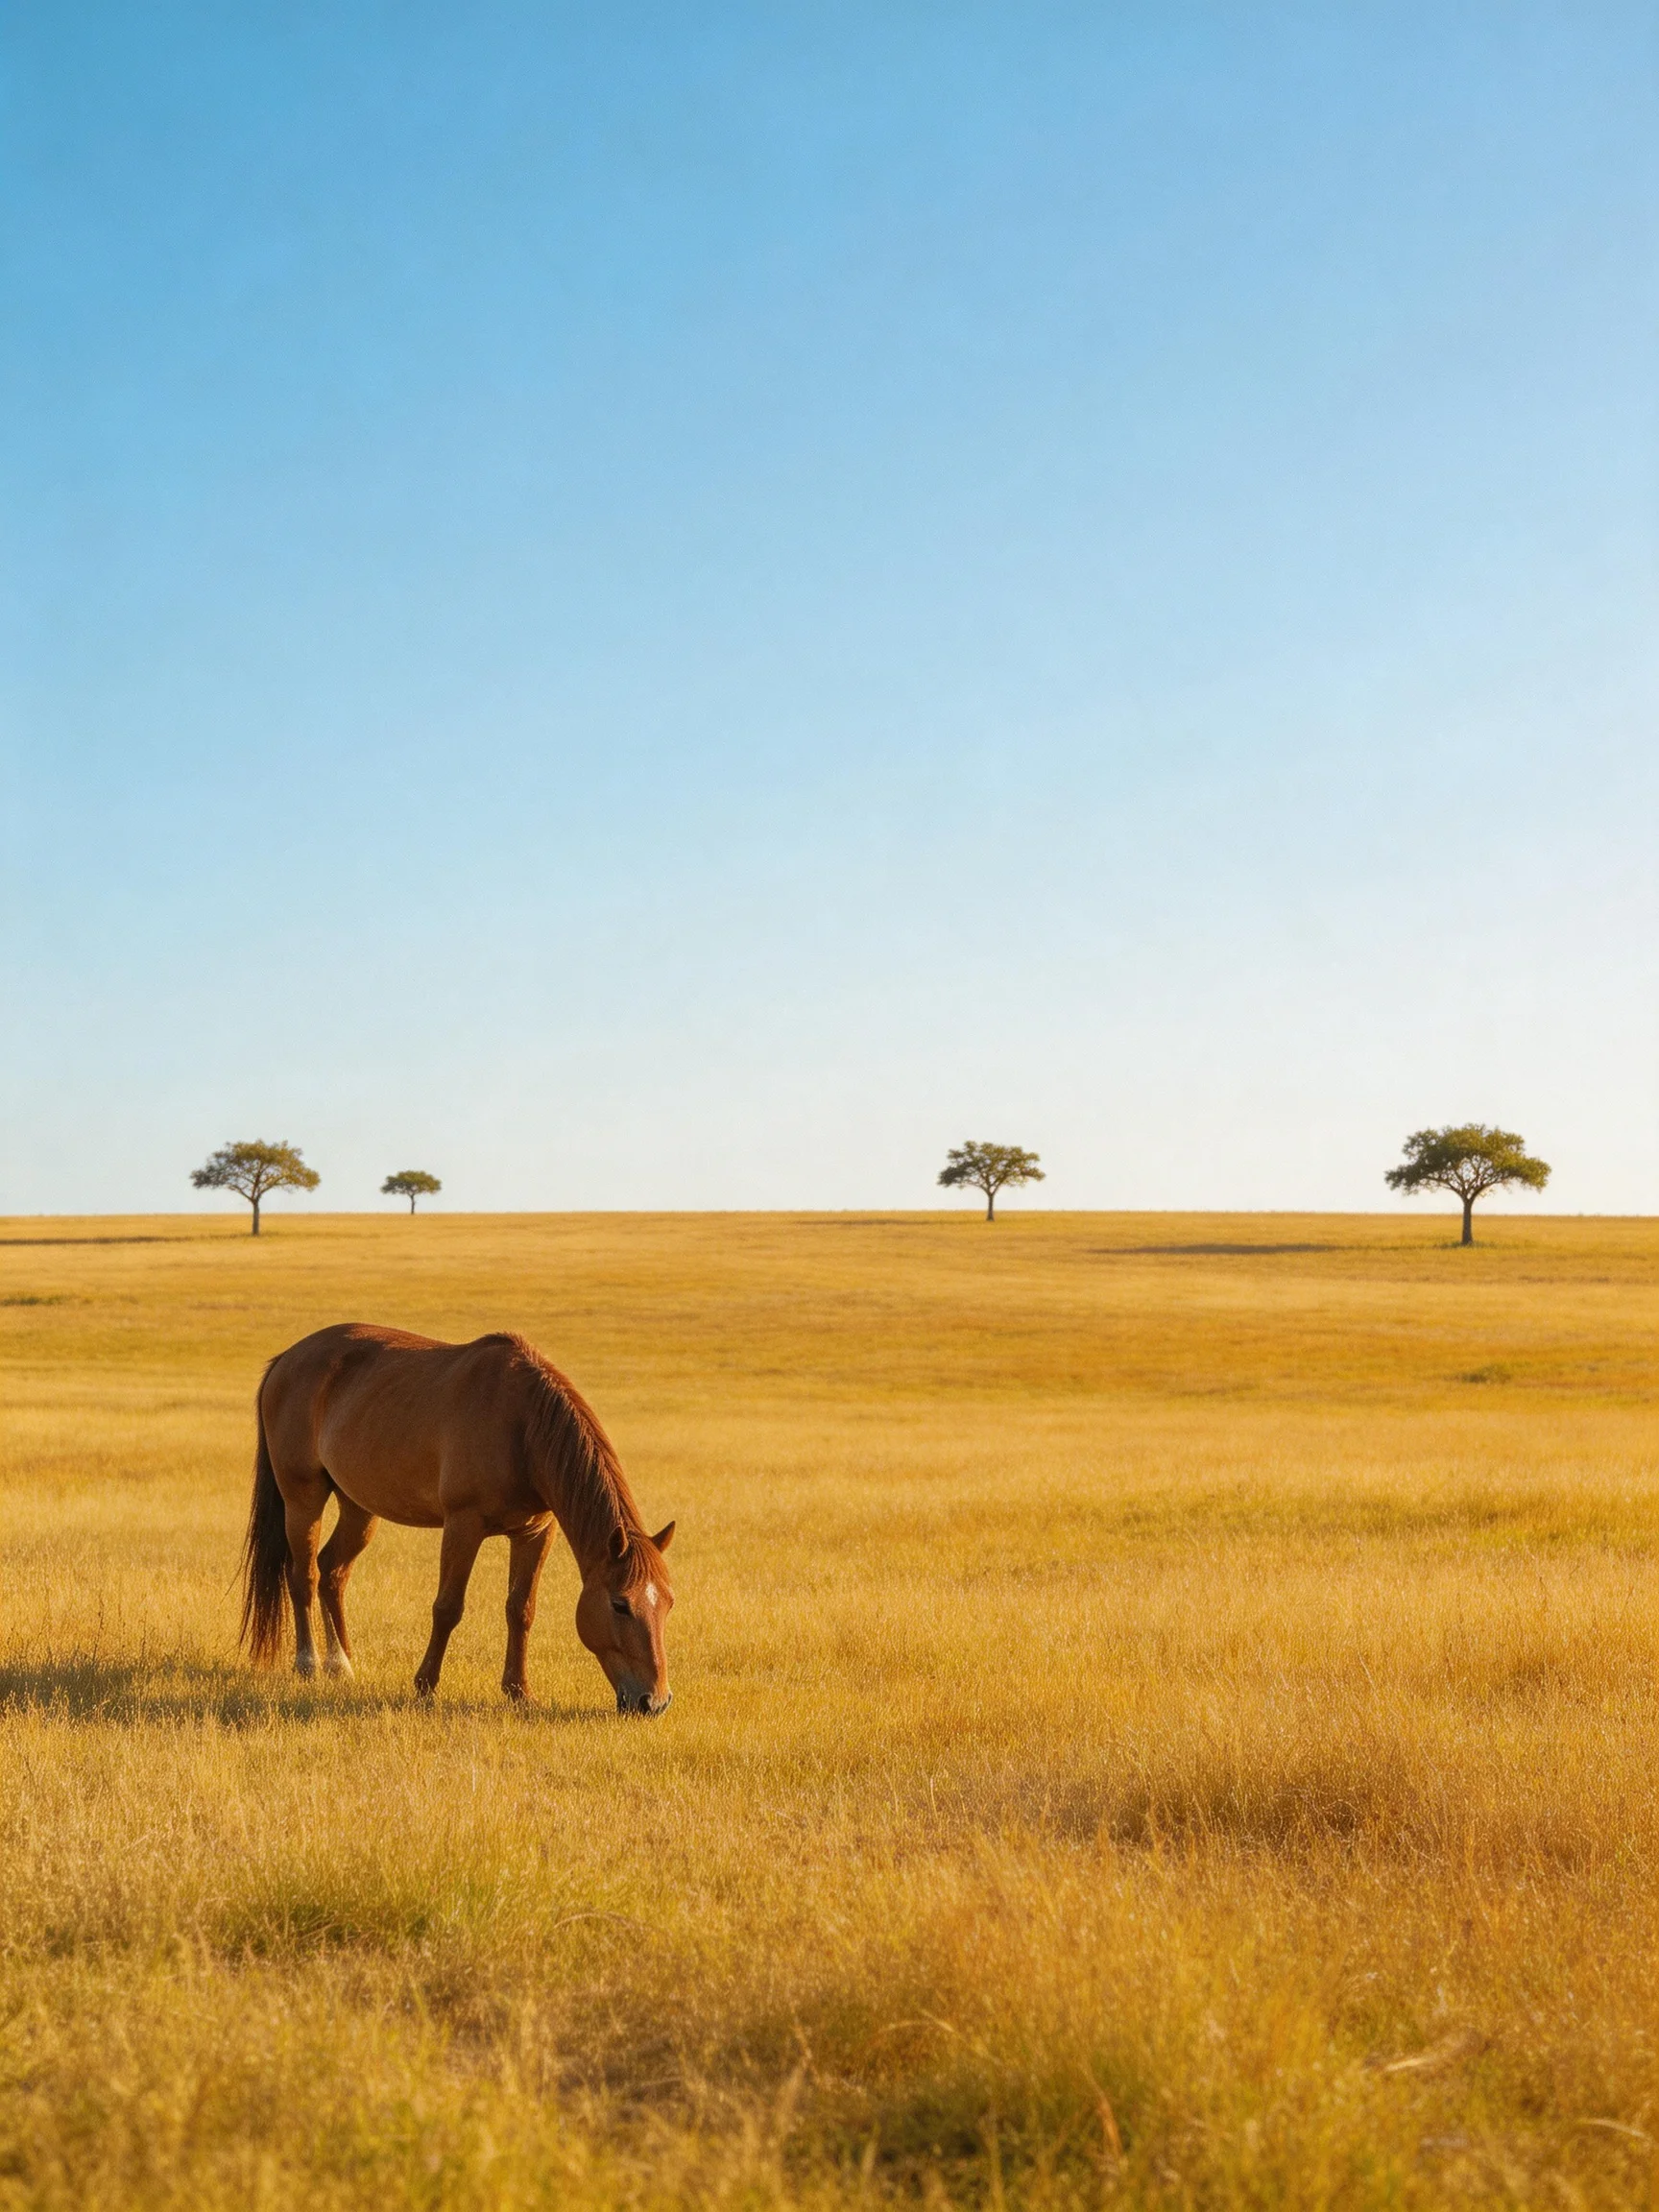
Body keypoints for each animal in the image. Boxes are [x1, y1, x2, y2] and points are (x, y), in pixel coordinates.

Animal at [241, 1323, 675, 1712]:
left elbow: (521, 1610)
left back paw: (341, 1663)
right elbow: (448, 1607)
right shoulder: (463, 1525)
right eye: (620, 1604)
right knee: (304, 1576)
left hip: (358, 1506)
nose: (653, 1701)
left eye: (668, 1603)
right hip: (303, 1497)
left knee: (333, 1572)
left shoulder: (536, 1532)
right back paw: (309, 1664)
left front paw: (519, 1692)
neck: (522, 1427)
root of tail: (285, 1360)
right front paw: (425, 1685)